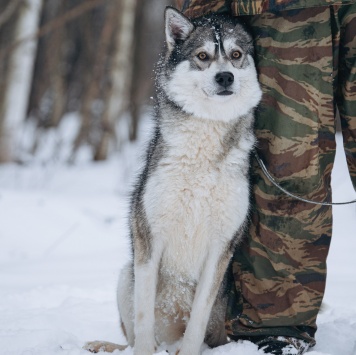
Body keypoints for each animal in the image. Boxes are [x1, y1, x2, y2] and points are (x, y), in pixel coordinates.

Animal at [85, 6, 260, 355]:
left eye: (236, 55)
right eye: (203, 56)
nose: (225, 77)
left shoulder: (220, 247)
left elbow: (198, 319)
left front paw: (189, 350)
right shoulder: (149, 238)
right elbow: (143, 321)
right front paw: (142, 350)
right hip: (125, 276)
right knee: (132, 337)